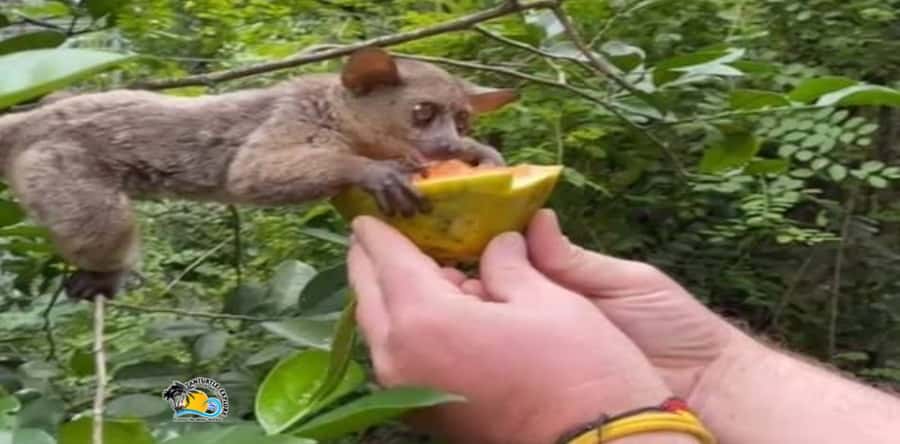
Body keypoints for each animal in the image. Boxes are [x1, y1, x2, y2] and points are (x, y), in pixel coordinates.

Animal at [0, 47, 519, 301]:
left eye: (462, 121)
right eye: (422, 113)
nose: (449, 144)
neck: (342, 119)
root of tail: (30, 123)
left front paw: (484, 155)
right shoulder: (298, 116)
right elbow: (249, 173)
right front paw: (373, 172)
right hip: (56, 162)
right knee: (102, 223)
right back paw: (103, 274)